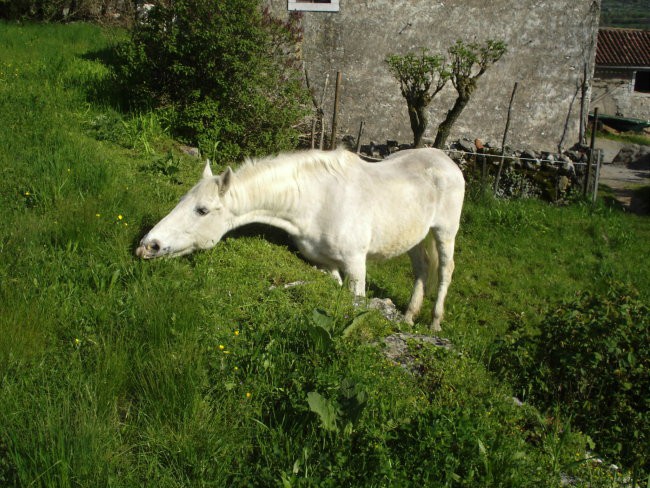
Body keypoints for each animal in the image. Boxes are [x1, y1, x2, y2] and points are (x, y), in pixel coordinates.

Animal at [135, 149, 460, 332]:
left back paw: (434, 324)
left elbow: (356, 300)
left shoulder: (355, 263)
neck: (318, 200)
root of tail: (446, 160)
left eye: (202, 210)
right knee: (422, 268)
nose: (148, 245)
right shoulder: (325, 263)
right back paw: (407, 318)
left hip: (445, 231)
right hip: (415, 238)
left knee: (445, 270)